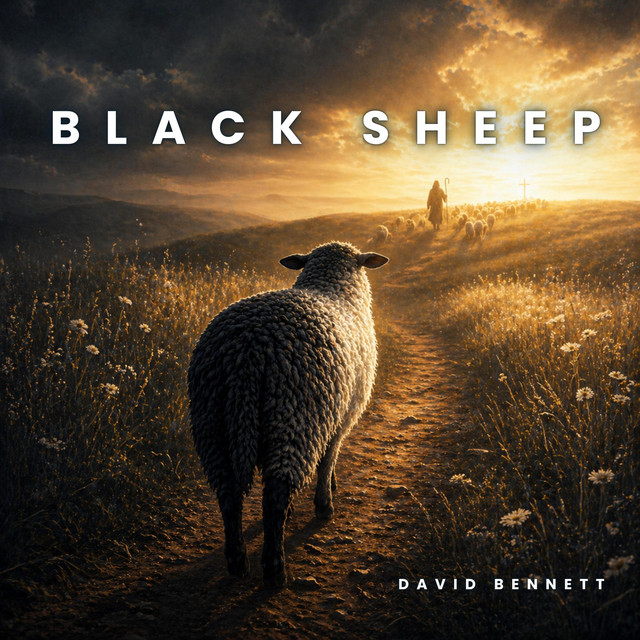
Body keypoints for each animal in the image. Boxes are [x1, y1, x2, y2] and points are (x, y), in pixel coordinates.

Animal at [188, 242, 388, 587]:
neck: (332, 287)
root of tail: (247, 352)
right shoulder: (343, 415)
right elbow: (328, 459)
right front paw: (325, 503)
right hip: (294, 415)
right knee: (275, 493)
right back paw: (275, 569)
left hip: (212, 422)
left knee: (228, 493)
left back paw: (238, 561)